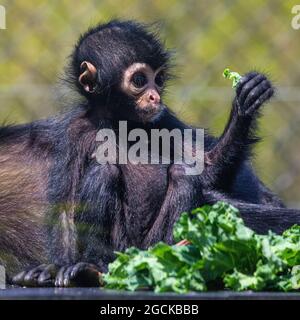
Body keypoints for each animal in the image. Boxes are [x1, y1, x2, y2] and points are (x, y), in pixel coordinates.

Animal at [0, 20, 298, 288]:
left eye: (160, 79)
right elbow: (64, 208)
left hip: (152, 240)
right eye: (140, 80)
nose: (155, 96)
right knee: (104, 169)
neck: (121, 122)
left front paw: (243, 110)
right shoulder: (76, 131)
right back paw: (92, 267)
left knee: (182, 175)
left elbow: (208, 172)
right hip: (119, 245)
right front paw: (53, 267)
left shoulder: (163, 117)